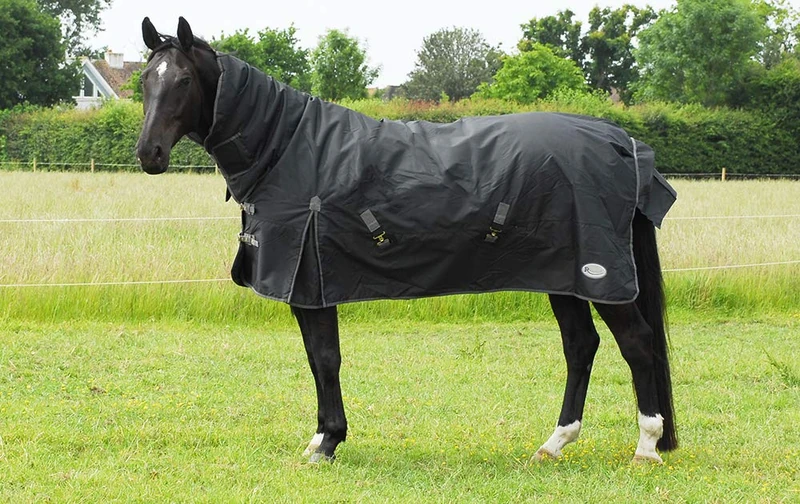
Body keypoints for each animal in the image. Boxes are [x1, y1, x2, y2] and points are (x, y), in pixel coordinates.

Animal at [135, 16, 678, 464]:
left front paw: (329, 442)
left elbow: (326, 358)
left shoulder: (312, 282)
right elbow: (316, 358)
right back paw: (554, 443)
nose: (148, 153)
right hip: (561, 275)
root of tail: (622, 142)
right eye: (145, 81)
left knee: (636, 342)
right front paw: (320, 437)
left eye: (183, 81)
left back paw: (647, 446)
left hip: (598, 276)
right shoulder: (307, 288)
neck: (288, 148)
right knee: (581, 345)